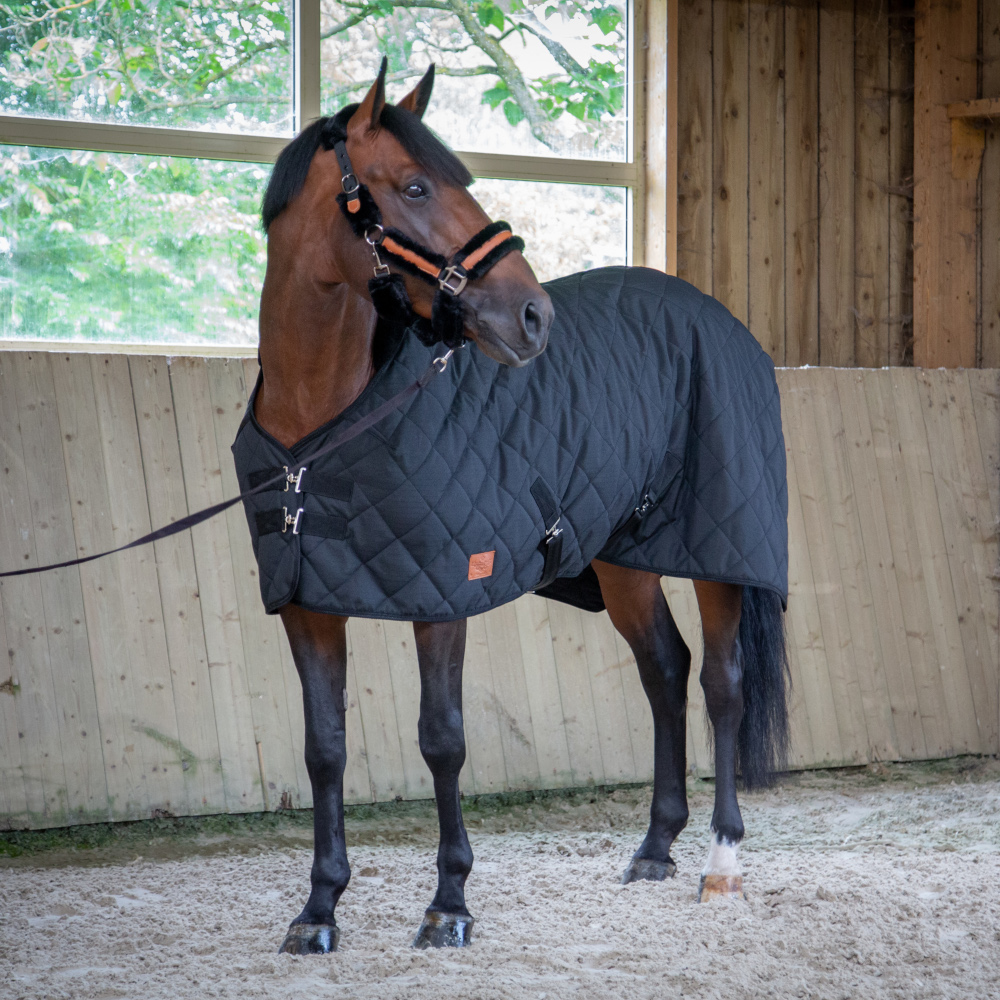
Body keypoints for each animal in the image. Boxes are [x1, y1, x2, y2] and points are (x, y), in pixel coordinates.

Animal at [242, 60, 789, 954]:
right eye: (416, 186)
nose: (534, 316)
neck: (322, 429)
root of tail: (721, 319)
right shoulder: (308, 606)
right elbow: (324, 749)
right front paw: (318, 911)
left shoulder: (442, 600)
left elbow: (442, 740)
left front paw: (449, 905)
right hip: (625, 558)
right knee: (665, 670)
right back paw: (655, 847)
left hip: (721, 555)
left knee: (722, 683)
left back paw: (721, 862)